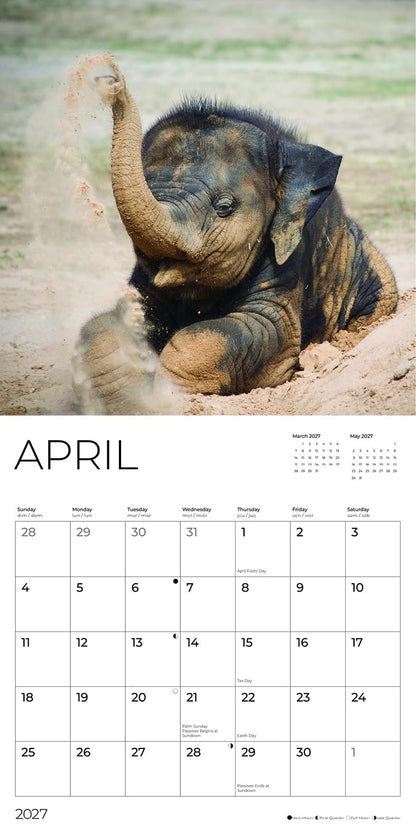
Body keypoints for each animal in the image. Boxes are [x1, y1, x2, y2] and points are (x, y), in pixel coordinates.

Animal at [73, 57, 398, 414]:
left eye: (224, 207)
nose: (108, 79)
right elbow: (104, 327)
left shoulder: (286, 257)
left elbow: (258, 329)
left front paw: (165, 395)